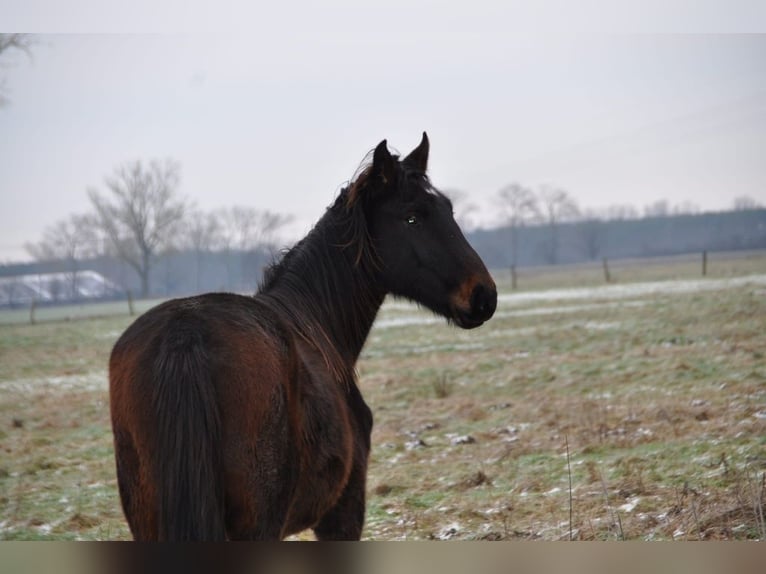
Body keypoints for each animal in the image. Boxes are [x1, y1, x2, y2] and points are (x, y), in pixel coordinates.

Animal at [111, 133, 500, 544]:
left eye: (448, 209)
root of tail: (185, 335)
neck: (316, 325)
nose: (483, 295)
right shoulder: (342, 513)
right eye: (412, 217)